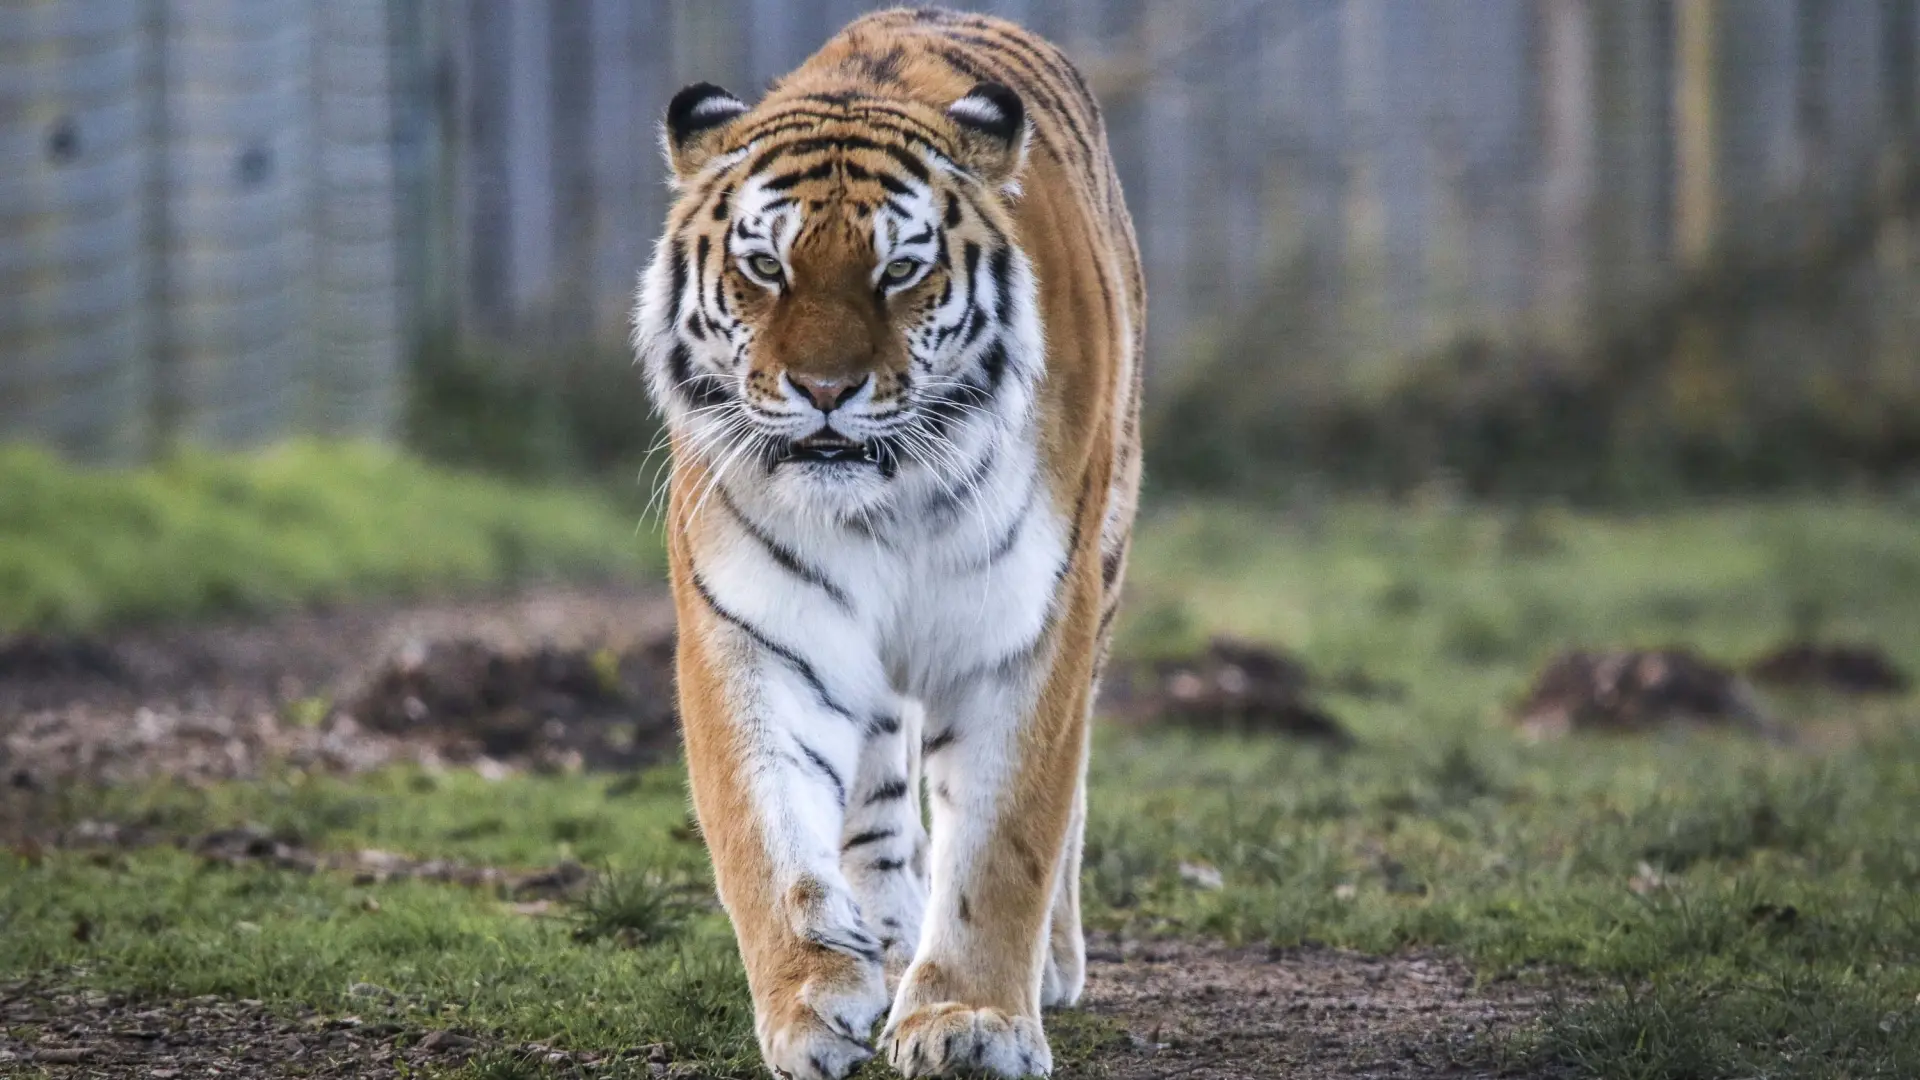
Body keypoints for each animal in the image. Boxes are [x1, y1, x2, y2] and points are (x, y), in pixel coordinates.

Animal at [632, 7, 1142, 1078]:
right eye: (766, 267)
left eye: (900, 270)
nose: (826, 390)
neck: (887, 501)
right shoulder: (757, 629)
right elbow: (766, 833)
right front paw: (811, 1000)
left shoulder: (1027, 629)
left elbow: (1005, 841)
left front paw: (972, 1021)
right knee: (872, 794)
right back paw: (888, 942)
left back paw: (1048, 966)